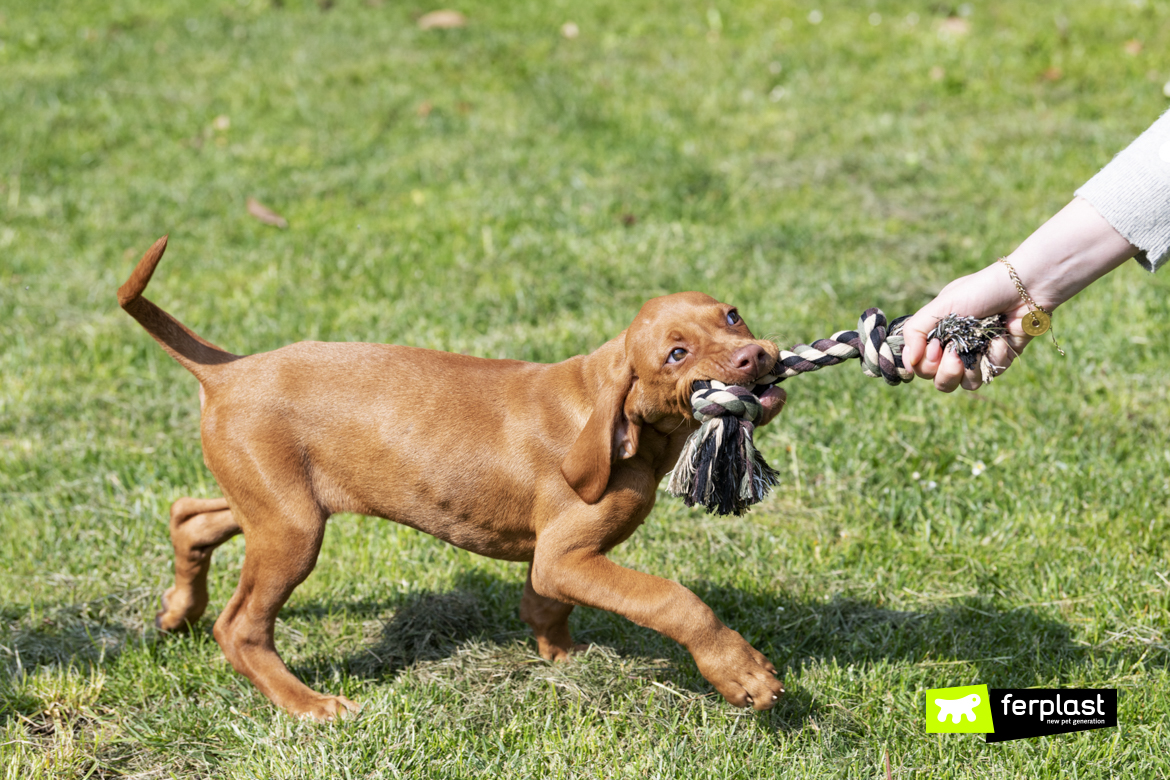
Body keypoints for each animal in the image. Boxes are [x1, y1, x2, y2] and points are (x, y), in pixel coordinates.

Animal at [118, 236, 786, 720]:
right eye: (676, 354)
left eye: (732, 315)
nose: (756, 356)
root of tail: (229, 372)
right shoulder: (566, 556)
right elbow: (673, 599)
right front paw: (742, 672)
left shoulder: (554, 559)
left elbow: (543, 604)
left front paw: (562, 656)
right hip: (292, 530)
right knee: (240, 628)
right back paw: (307, 705)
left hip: (275, 506)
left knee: (190, 517)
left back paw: (178, 611)